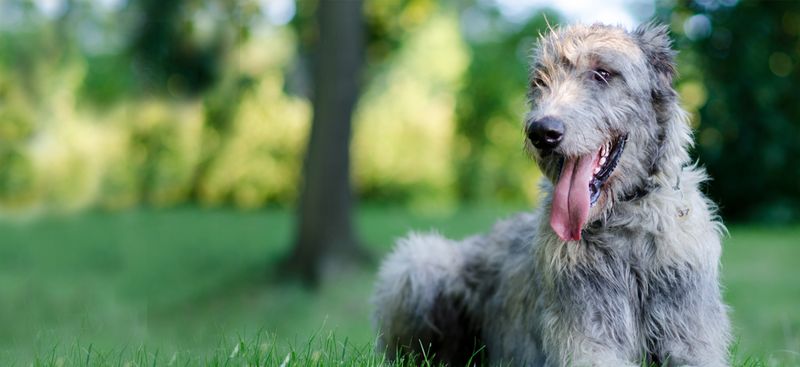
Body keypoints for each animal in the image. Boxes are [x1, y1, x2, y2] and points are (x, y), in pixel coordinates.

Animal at [374, 23, 732, 367]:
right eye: (540, 81)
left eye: (602, 73)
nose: (542, 133)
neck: (624, 223)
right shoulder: (585, 336)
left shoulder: (690, 330)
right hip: (418, 261)